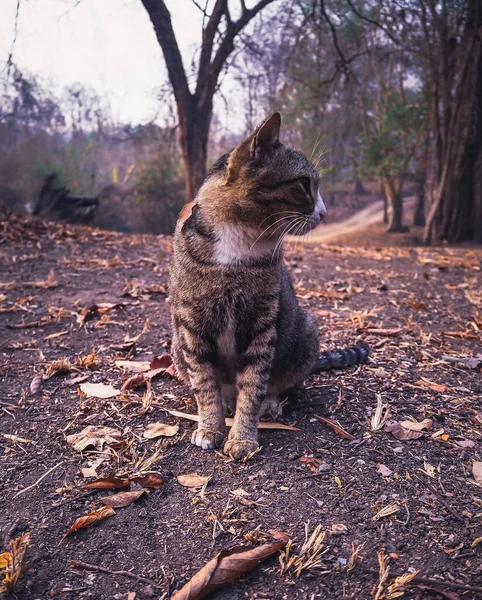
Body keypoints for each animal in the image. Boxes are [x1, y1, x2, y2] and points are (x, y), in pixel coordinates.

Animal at [169, 112, 370, 460]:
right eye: (304, 183)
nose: (324, 213)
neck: (236, 247)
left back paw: (270, 404)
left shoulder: (261, 325)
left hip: (305, 330)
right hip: (175, 343)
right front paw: (210, 427)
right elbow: (204, 385)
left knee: (278, 385)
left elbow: (253, 386)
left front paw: (243, 438)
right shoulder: (192, 325)